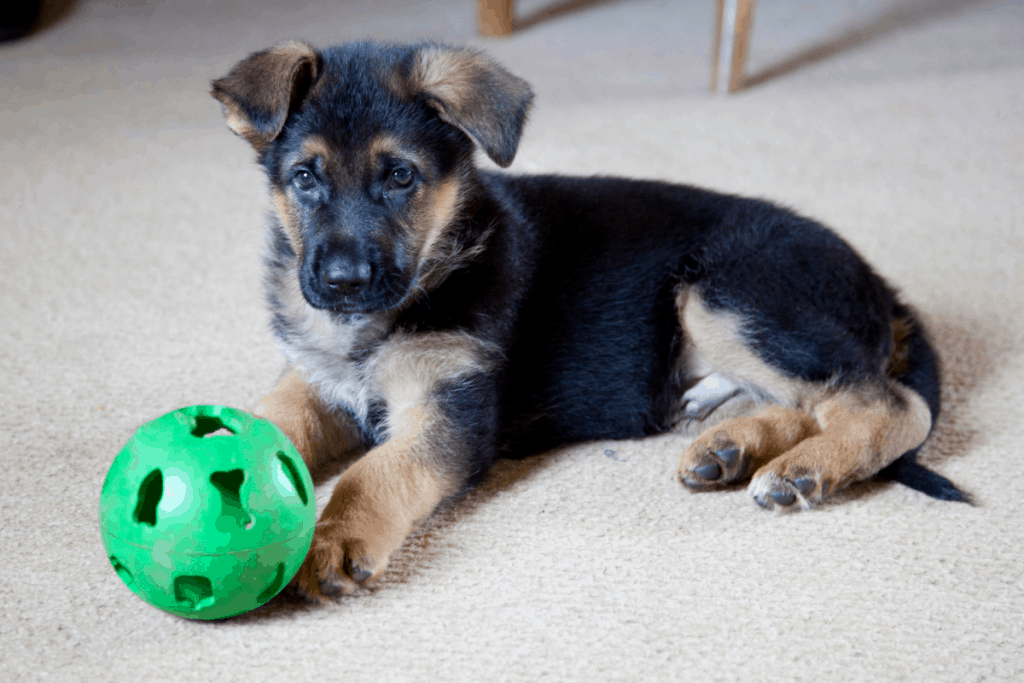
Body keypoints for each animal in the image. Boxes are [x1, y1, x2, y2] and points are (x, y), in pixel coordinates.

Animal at [211, 41, 962, 598]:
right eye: (305, 178)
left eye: (400, 177)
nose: (342, 284)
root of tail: (880, 284)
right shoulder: (317, 380)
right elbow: (266, 418)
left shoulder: (451, 411)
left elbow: (376, 470)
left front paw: (336, 535)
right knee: (816, 398)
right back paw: (733, 446)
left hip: (724, 290)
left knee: (889, 402)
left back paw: (804, 469)